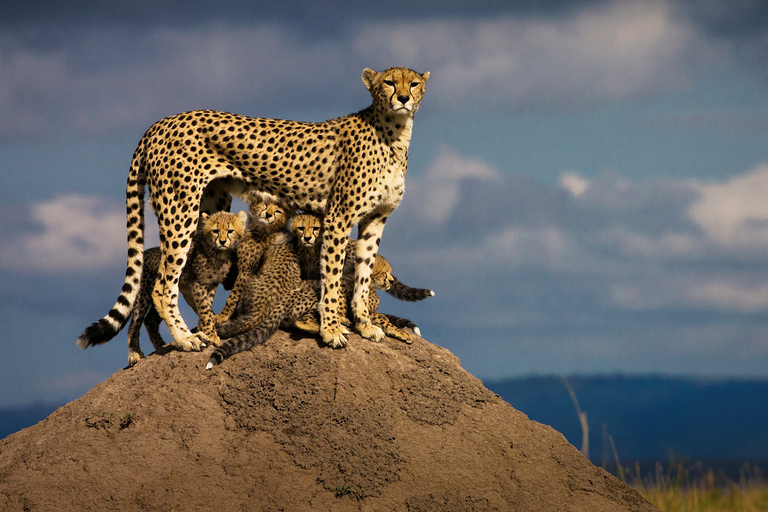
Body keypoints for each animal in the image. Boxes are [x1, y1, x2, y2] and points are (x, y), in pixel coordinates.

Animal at [94, 66, 428, 350]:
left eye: (413, 83)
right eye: (389, 82)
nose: (402, 98)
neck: (395, 132)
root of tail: (160, 123)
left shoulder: (375, 219)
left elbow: (363, 273)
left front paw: (365, 324)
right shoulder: (338, 217)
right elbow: (332, 278)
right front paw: (332, 329)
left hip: (211, 207)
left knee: (194, 278)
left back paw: (209, 328)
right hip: (179, 209)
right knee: (163, 285)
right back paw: (186, 338)